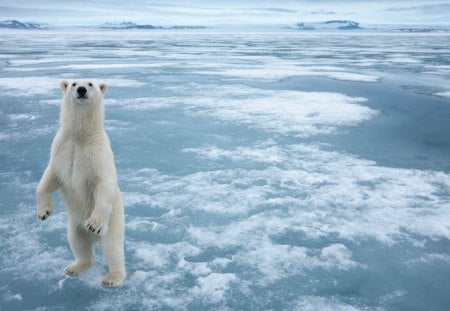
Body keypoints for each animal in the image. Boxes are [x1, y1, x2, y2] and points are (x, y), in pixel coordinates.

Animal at [35, 80, 125, 288]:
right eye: (73, 83)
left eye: (90, 83)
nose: (81, 90)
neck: (80, 135)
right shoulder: (61, 149)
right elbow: (49, 178)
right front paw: (44, 212)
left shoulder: (98, 154)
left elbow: (103, 183)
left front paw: (94, 223)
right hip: (74, 225)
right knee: (78, 243)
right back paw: (75, 267)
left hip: (113, 222)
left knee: (112, 248)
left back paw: (112, 277)